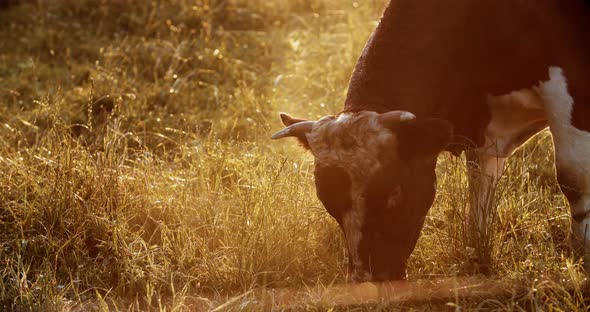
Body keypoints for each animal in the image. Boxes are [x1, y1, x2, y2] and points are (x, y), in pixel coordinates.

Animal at [272, 0, 590, 282]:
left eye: (395, 192)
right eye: (328, 202)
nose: (368, 278)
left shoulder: (572, 84)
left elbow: (573, 176)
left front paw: (582, 253)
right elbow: (481, 191)